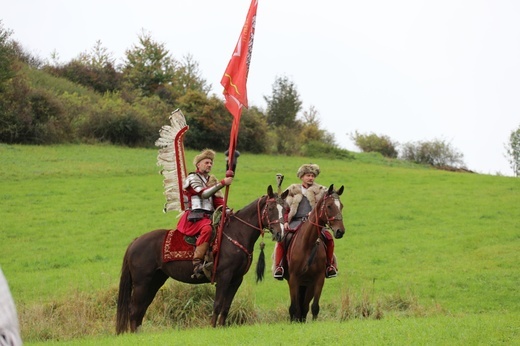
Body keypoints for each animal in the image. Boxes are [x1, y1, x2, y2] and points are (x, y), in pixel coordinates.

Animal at [116, 185, 284, 334]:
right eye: (270, 208)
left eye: (285, 209)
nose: (280, 233)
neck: (237, 233)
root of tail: (135, 242)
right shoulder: (224, 276)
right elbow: (217, 304)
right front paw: (213, 328)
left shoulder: (236, 279)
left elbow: (226, 307)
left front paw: (221, 327)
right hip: (141, 283)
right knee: (134, 309)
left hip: (155, 280)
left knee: (141, 308)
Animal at [280, 185, 346, 324]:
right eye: (329, 206)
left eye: (341, 205)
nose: (340, 231)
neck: (307, 244)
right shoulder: (293, 279)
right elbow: (294, 307)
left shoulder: (318, 279)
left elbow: (314, 306)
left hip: (307, 284)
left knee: (304, 306)